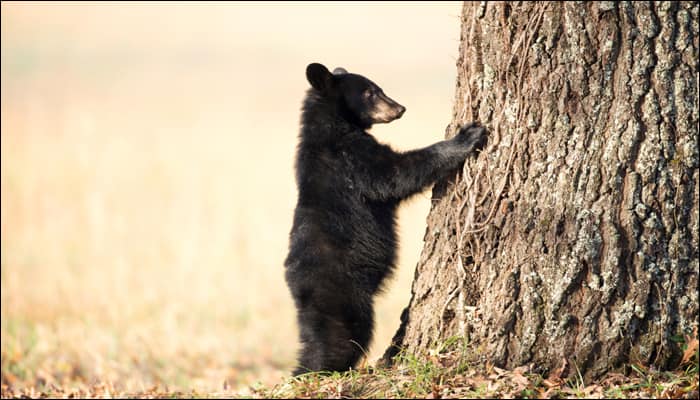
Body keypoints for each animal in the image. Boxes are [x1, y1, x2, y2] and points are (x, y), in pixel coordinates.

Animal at [284, 62, 486, 376]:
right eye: (370, 92)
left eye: (378, 88)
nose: (400, 108)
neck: (332, 127)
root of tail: (296, 286)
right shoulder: (351, 159)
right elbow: (395, 174)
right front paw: (466, 136)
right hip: (341, 293)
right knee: (340, 337)